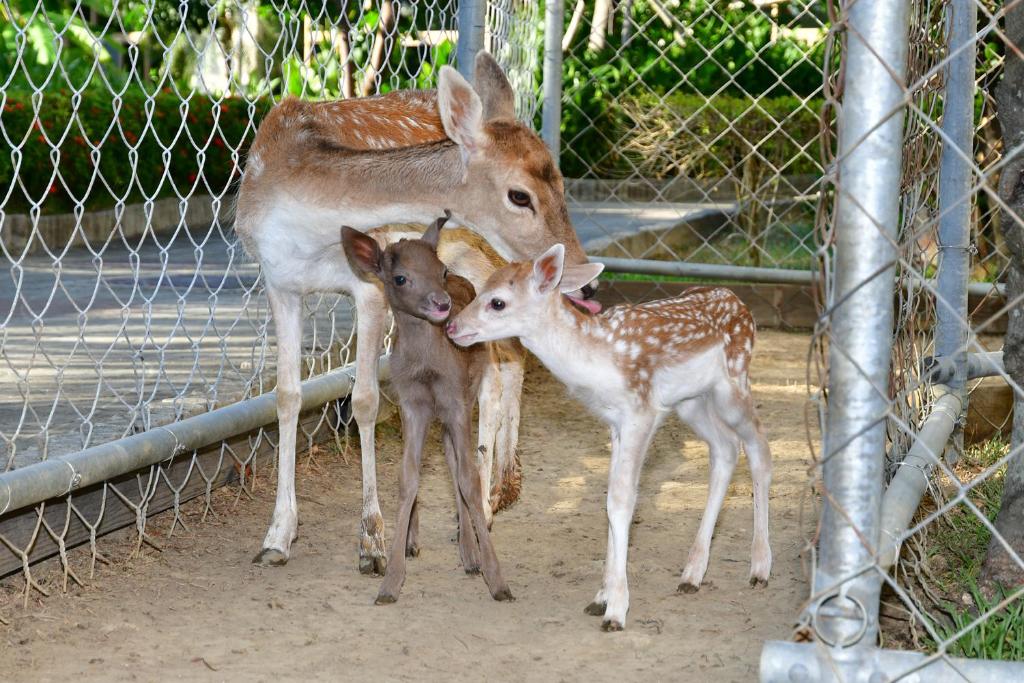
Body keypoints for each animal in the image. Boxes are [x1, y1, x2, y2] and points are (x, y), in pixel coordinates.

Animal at [234, 50, 598, 569]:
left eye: (564, 184)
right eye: (520, 194)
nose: (583, 273)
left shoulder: (371, 286)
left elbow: (365, 400)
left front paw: (372, 541)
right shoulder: (278, 282)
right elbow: (285, 398)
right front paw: (277, 537)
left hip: (486, 261)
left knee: (500, 363)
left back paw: (484, 504)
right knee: (507, 356)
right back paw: (504, 487)